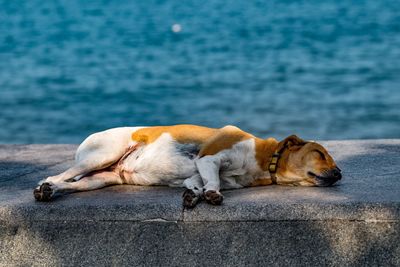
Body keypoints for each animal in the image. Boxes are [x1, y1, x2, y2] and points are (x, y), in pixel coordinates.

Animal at [33, 124, 340, 208]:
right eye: (320, 153)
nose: (339, 173)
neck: (265, 160)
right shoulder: (209, 159)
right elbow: (212, 181)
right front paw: (212, 194)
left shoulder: (199, 172)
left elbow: (195, 183)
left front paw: (194, 195)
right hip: (102, 155)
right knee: (58, 174)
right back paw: (44, 186)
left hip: (102, 178)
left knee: (72, 184)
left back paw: (50, 191)